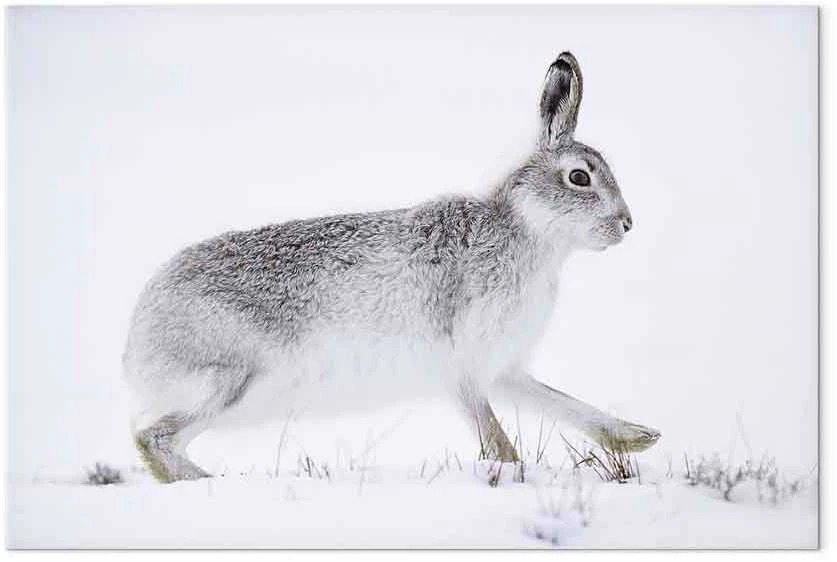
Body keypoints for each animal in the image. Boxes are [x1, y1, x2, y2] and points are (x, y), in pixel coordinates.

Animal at [123, 52, 660, 483]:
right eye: (579, 178)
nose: (627, 224)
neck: (527, 230)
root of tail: (137, 342)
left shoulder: (502, 366)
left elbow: (559, 401)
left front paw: (637, 437)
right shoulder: (463, 365)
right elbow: (495, 437)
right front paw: (514, 474)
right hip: (230, 380)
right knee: (153, 439)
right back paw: (208, 483)